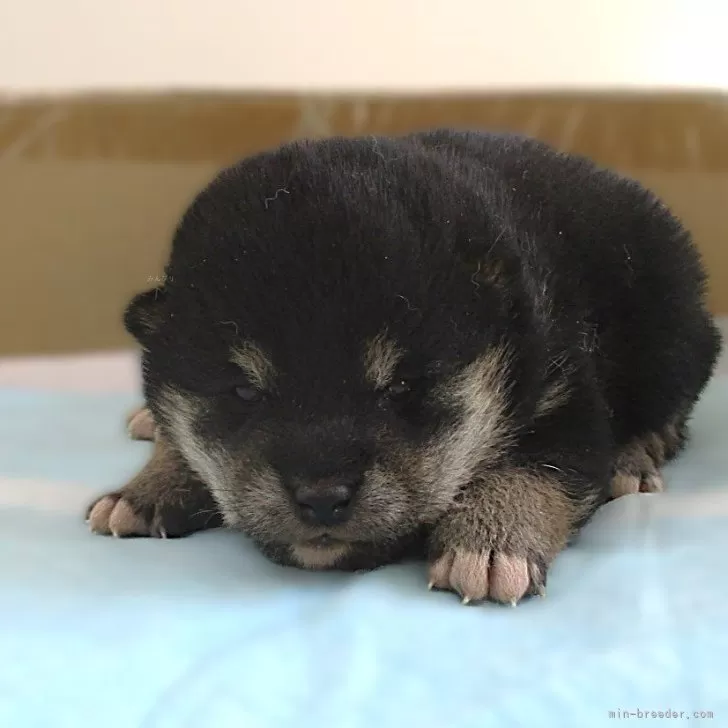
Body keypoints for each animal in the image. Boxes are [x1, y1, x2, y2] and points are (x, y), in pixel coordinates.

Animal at [86, 129, 724, 604]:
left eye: (400, 387)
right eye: (244, 392)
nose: (323, 496)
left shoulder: (565, 386)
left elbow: (537, 467)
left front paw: (490, 540)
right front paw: (151, 484)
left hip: (671, 320)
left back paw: (639, 452)